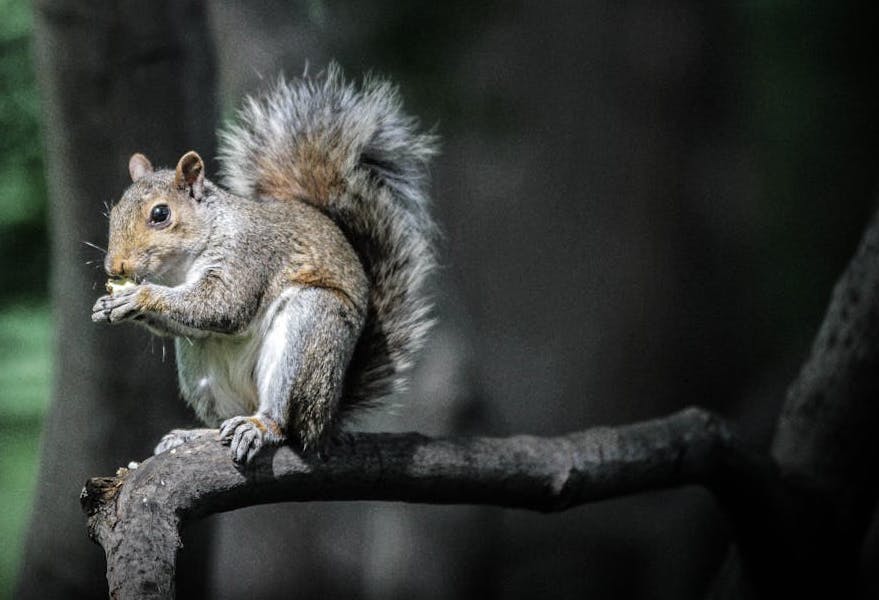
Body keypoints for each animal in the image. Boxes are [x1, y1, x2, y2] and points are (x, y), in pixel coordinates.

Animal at [91, 65, 438, 462]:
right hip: (199, 369)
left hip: (309, 335)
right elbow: (195, 322)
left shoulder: (249, 255)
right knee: (221, 415)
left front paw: (138, 296)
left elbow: (224, 306)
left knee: (287, 422)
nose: (115, 268)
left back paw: (261, 425)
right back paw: (195, 436)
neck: (180, 268)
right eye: (115, 211)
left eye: (160, 214)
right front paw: (107, 304)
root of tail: (327, 421)